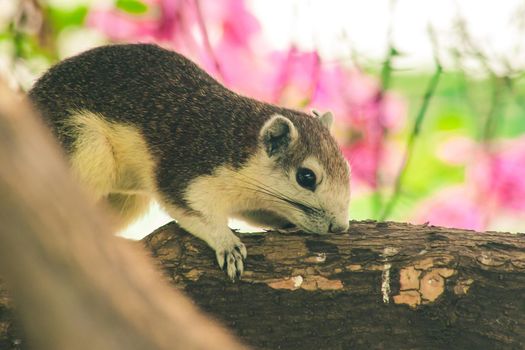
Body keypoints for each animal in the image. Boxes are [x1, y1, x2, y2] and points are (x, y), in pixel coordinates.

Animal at [27, 43, 348, 278]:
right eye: (306, 177)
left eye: (346, 168)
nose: (341, 228)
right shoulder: (186, 174)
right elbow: (196, 214)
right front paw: (227, 244)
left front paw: (285, 223)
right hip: (82, 146)